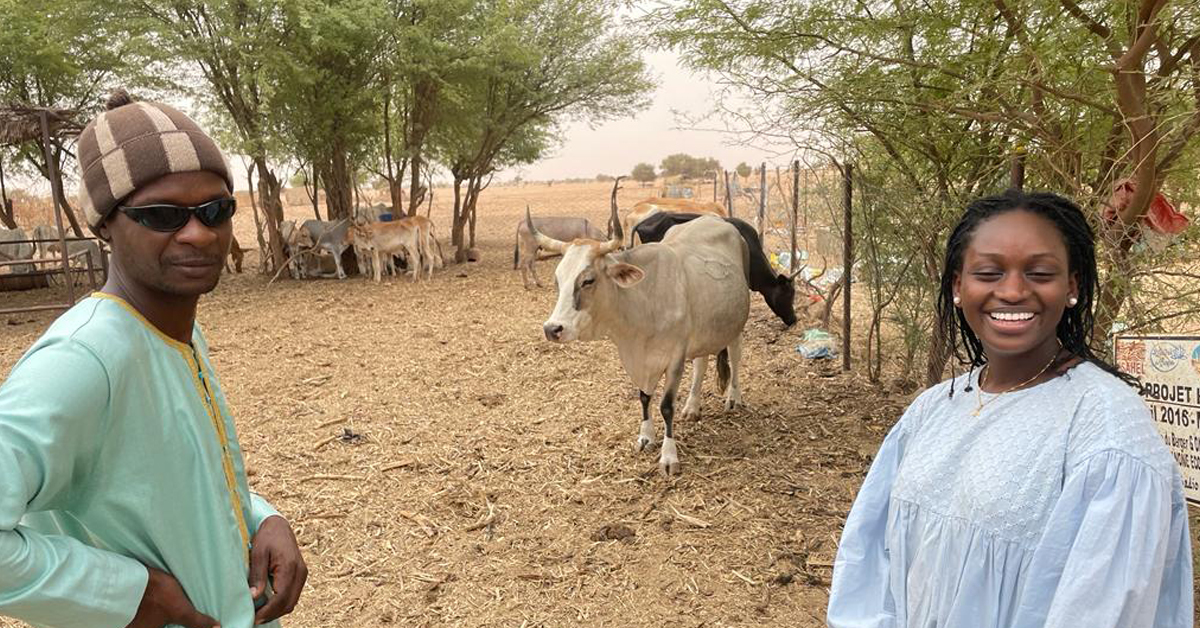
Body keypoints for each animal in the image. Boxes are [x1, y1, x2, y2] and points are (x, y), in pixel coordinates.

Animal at [532, 207, 748, 477]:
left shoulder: (675, 358)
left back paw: (734, 398)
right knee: (701, 363)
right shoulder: (642, 360)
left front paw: (669, 456)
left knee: (735, 357)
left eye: (588, 280)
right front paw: (646, 437)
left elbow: (666, 406)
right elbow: (644, 397)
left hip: (736, 325)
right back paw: (692, 406)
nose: (552, 329)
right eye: (558, 280)